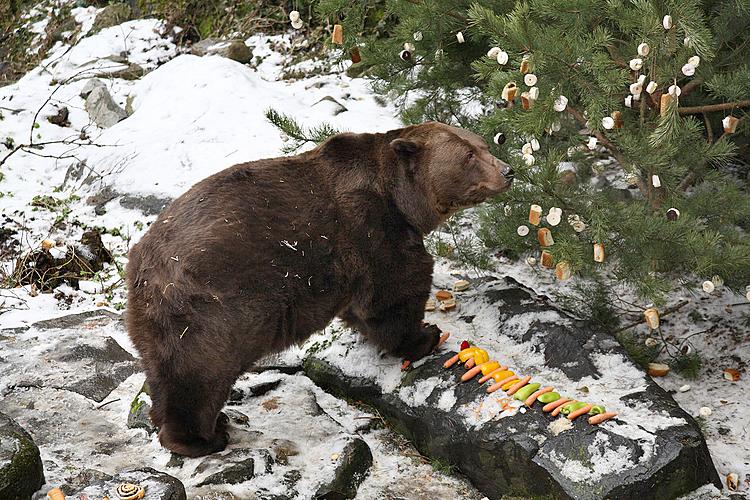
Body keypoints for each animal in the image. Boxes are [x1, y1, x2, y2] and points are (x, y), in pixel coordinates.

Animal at [126, 122, 516, 458]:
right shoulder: (372, 228)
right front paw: (426, 335)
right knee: (200, 372)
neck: (400, 198)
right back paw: (203, 437)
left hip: (158, 320)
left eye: (484, 144)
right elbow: (394, 292)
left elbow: (364, 308)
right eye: (468, 156)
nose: (508, 170)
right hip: (209, 307)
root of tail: (140, 264)